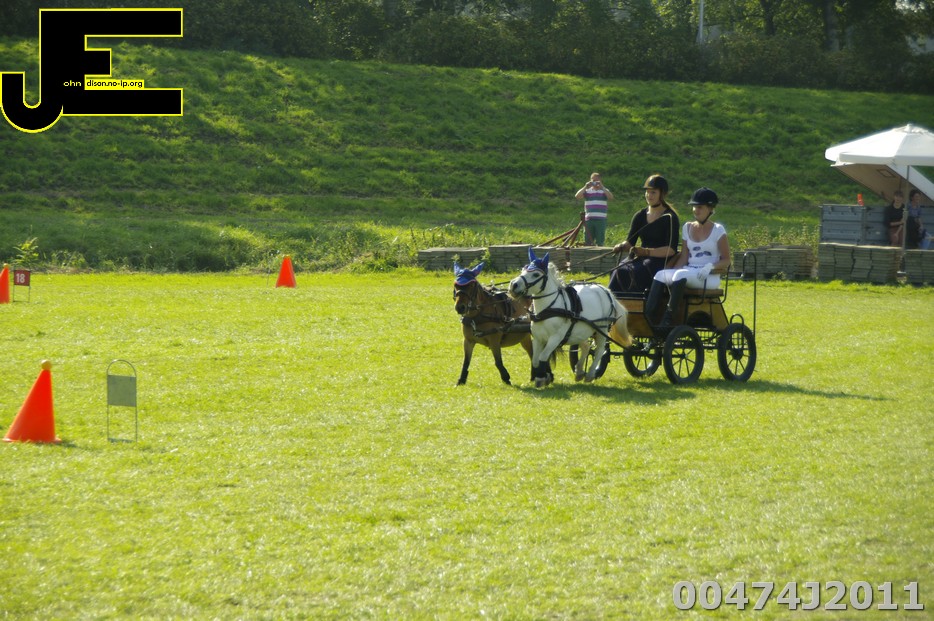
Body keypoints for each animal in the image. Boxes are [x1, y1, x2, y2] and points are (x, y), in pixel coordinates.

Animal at [508, 247, 631, 387]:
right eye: (523, 269)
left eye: (535, 275)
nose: (513, 285)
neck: (549, 308)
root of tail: (605, 290)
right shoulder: (538, 338)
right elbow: (535, 359)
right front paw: (543, 376)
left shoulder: (555, 338)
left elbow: (543, 357)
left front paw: (541, 378)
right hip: (581, 330)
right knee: (586, 347)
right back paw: (579, 371)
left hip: (602, 329)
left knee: (599, 350)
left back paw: (590, 374)